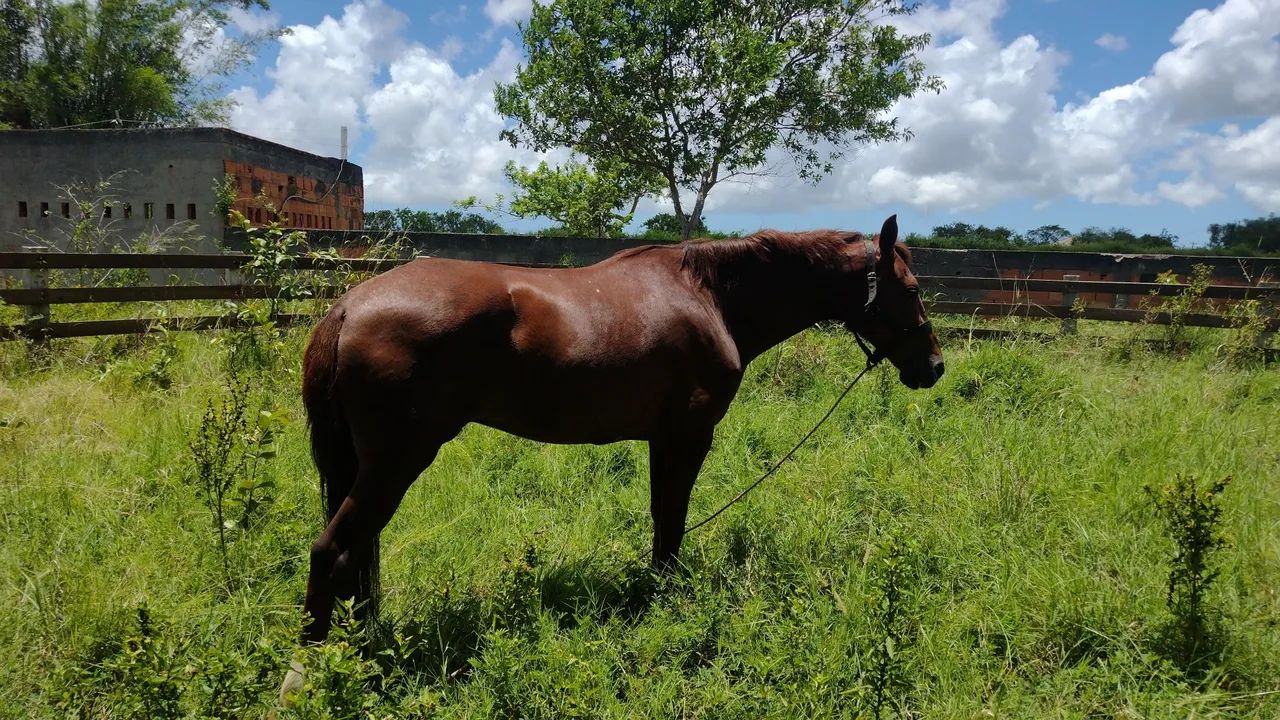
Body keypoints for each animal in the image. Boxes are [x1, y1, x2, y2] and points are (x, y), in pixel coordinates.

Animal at [296, 214, 942, 646]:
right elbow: (672, 518)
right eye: (911, 290)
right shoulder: (688, 434)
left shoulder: (663, 437)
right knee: (332, 551)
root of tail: (349, 305)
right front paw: (666, 594)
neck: (709, 295)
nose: (933, 366)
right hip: (395, 462)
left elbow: (661, 516)